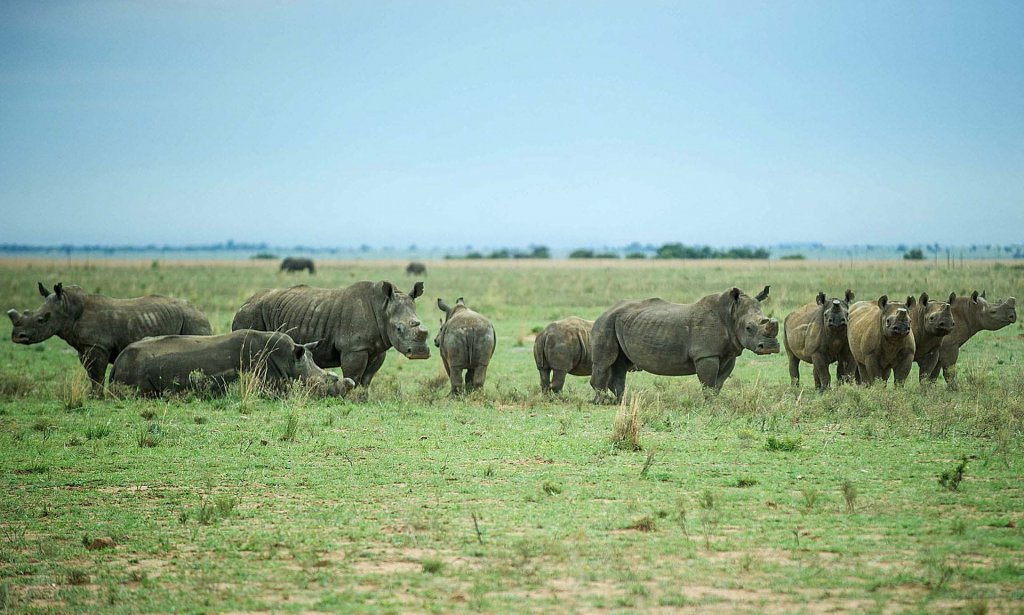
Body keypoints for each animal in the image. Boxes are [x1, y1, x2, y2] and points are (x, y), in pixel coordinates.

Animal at [7, 282, 211, 390]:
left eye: (41, 320)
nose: (17, 337)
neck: (68, 309)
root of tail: (202, 311)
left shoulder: (98, 346)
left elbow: (97, 373)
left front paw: (97, 397)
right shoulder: (85, 346)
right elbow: (90, 373)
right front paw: (92, 395)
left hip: (193, 319)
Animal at [231, 280, 428, 386]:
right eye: (399, 329)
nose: (420, 353)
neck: (383, 308)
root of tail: (244, 303)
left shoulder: (378, 347)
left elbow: (367, 378)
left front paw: (364, 398)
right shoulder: (354, 348)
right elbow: (353, 376)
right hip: (250, 314)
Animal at [589, 284, 778, 403]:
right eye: (748, 328)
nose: (770, 347)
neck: (731, 314)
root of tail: (606, 310)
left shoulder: (729, 354)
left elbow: (718, 383)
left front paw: (715, 403)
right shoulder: (705, 354)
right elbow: (708, 383)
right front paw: (709, 405)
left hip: (619, 321)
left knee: (620, 363)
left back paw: (622, 401)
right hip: (606, 322)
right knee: (605, 362)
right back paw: (602, 401)